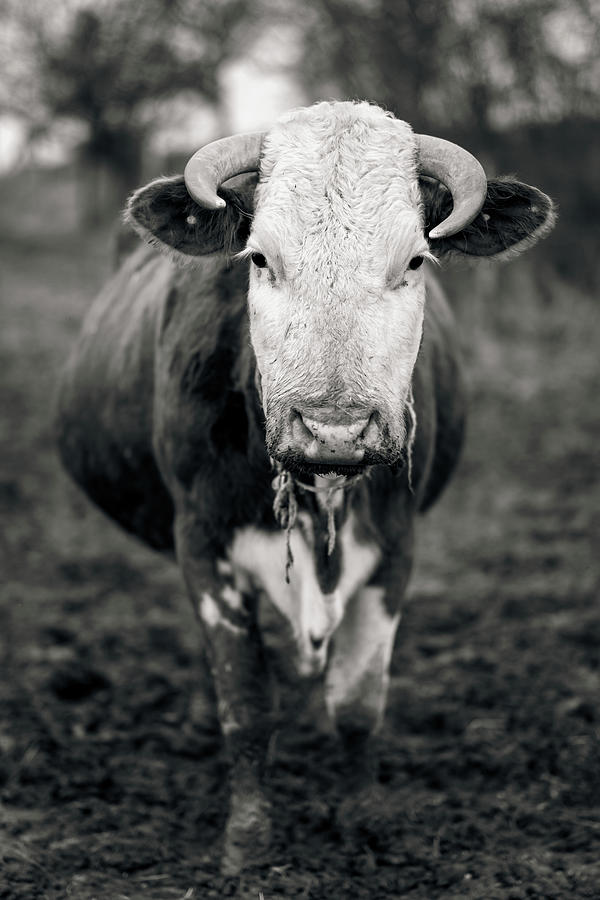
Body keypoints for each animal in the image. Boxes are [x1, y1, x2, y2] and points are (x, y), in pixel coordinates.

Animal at [54, 102, 556, 876]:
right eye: (260, 259)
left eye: (415, 260)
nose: (334, 428)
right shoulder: (202, 542)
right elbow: (245, 698)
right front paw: (248, 837)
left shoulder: (397, 543)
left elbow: (356, 700)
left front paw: (363, 820)